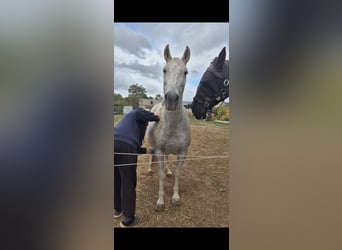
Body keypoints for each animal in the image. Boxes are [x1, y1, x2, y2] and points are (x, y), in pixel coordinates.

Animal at [145, 44, 191, 211]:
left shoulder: (182, 152)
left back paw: (169, 170)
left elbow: (177, 173)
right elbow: (161, 175)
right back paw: (150, 169)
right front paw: (160, 201)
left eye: (185, 72)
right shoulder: (159, 150)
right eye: (164, 70)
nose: (171, 99)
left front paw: (176, 197)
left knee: (168, 161)